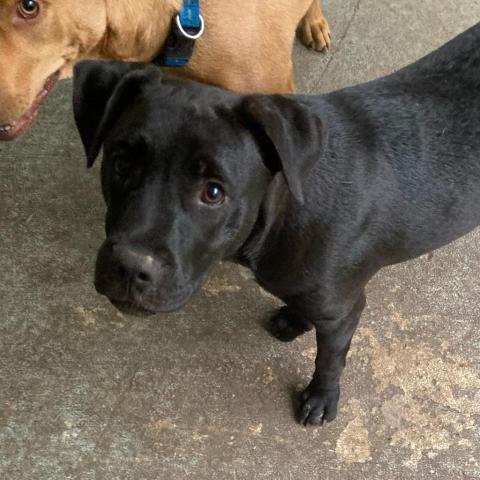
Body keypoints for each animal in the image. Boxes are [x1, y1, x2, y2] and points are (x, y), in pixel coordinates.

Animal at [71, 24, 480, 426]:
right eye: (122, 164)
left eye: (213, 192)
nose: (130, 266)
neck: (286, 209)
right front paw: (296, 320)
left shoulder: (343, 310)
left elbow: (330, 359)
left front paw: (321, 398)